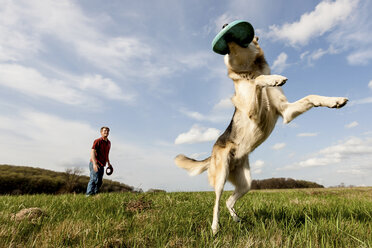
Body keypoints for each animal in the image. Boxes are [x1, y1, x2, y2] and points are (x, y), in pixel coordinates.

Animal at [176, 35, 348, 233]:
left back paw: (237, 219)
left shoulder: (286, 111)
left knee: (228, 201)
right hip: (221, 176)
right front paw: (273, 79)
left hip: (246, 183)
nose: (225, 29)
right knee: (217, 203)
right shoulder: (254, 112)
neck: (249, 70)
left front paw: (334, 101)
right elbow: (259, 80)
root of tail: (212, 153)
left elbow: (311, 96)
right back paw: (215, 228)